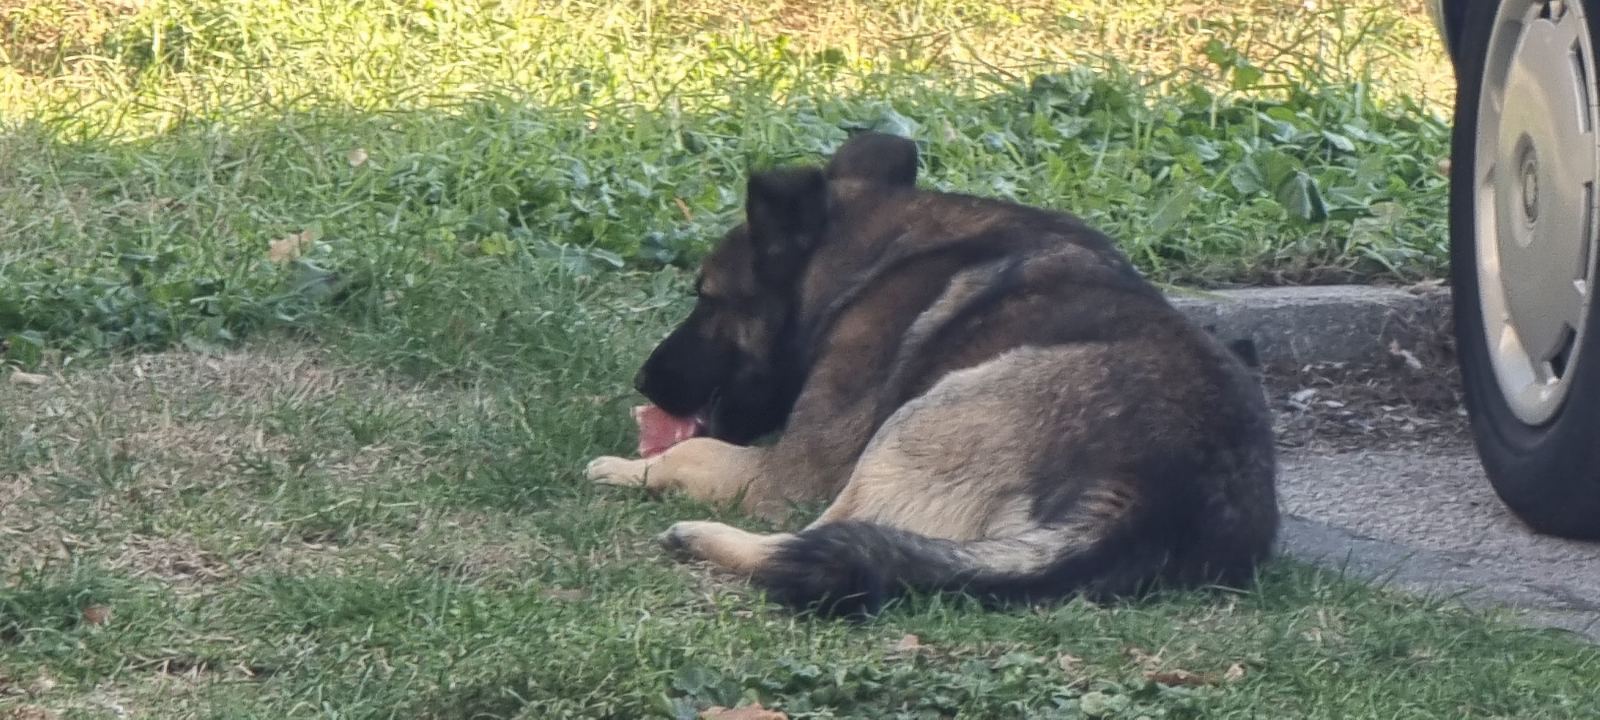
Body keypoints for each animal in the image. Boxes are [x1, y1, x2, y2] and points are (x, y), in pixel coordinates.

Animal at [587, 132, 1279, 616]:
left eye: (706, 300)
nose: (644, 382)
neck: (866, 256)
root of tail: (1141, 494)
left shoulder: (789, 474)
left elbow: (693, 452)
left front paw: (628, 468)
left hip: (916, 422)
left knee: (823, 544)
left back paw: (703, 536)